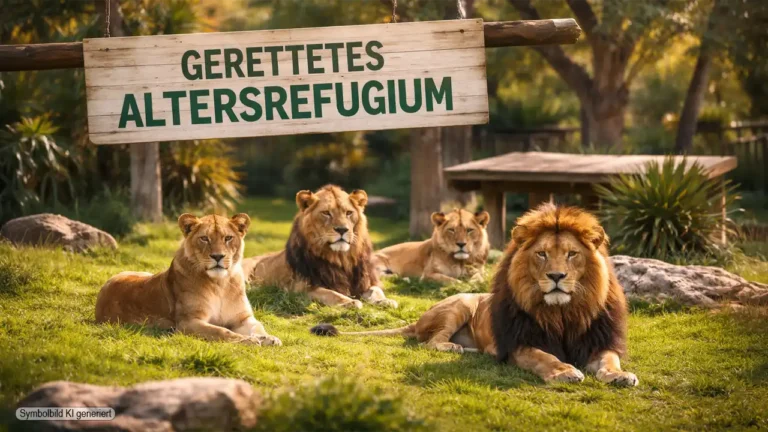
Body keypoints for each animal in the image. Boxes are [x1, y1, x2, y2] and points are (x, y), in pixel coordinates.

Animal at [95, 213, 281, 346]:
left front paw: (268, 338)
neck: (220, 284)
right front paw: (249, 341)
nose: (218, 256)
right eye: (204, 238)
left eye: (228, 238)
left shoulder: (242, 318)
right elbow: (221, 331)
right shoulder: (188, 322)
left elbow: (258, 326)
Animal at [242, 185, 397, 309]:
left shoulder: (366, 281)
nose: (342, 229)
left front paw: (385, 301)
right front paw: (350, 302)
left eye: (348, 213)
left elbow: (376, 290)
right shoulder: (301, 288)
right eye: (326, 213)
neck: (341, 259)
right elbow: (331, 293)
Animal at [312, 204, 638, 386]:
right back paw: (454, 347)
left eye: (571, 254)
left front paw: (620, 376)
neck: (563, 313)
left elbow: (610, 361)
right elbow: (545, 357)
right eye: (542, 254)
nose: (556, 276)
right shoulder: (519, 343)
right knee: (431, 342)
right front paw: (564, 372)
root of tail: (418, 319)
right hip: (460, 305)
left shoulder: (598, 341)